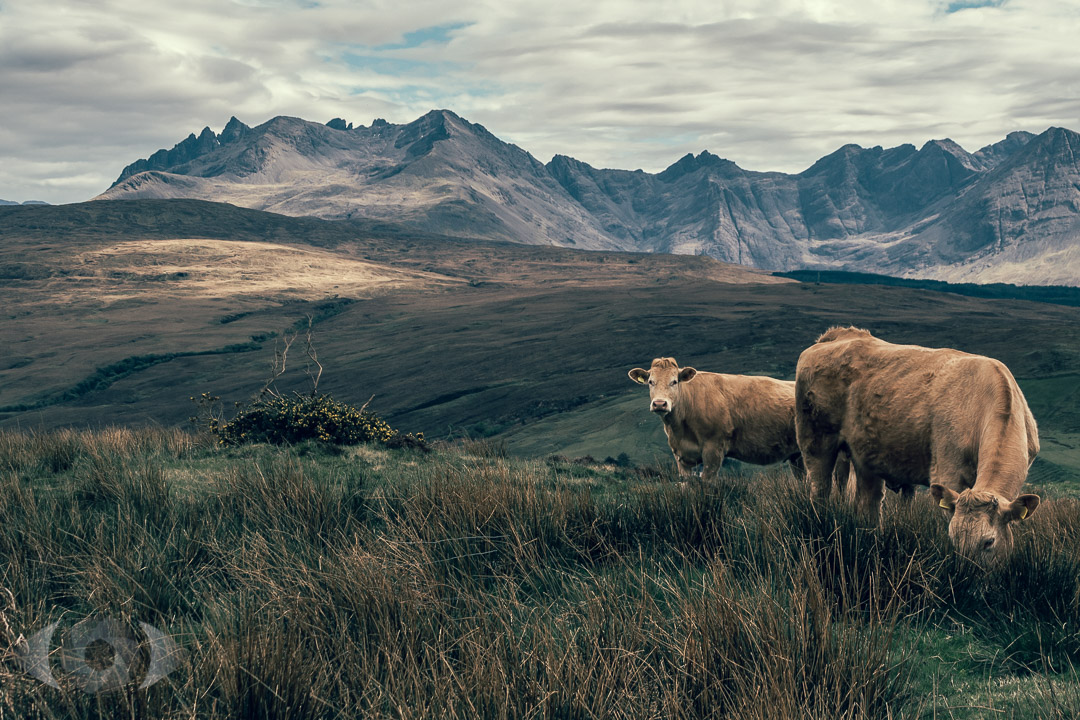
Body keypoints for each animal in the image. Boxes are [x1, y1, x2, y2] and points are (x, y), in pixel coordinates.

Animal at [630, 358, 807, 481]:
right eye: (651, 382)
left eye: (674, 381)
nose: (660, 403)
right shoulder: (681, 456)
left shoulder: (713, 449)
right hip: (797, 457)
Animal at [794, 325, 1036, 561]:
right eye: (953, 539)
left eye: (989, 542)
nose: (965, 570)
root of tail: (837, 335)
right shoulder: (948, 473)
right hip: (816, 442)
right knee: (820, 490)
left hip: (865, 460)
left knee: (867, 505)